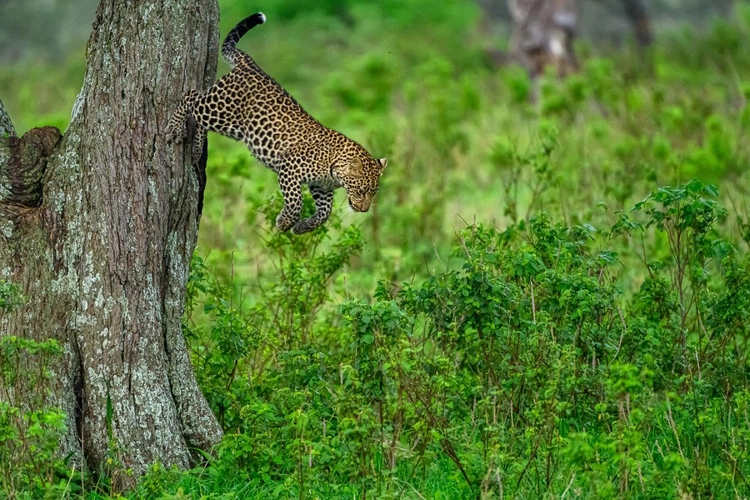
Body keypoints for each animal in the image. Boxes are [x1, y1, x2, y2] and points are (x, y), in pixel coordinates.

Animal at [166, 12, 387, 234]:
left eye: (374, 191)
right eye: (361, 190)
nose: (364, 209)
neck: (335, 169)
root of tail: (249, 64)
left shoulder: (321, 187)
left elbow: (325, 213)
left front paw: (303, 227)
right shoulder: (290, 167)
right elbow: (296, 202)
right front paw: (285, 222)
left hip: (233, 127)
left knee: (200, 118)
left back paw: (196, 149)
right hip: (220, 110)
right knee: (191, 96)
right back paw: (174, 129)